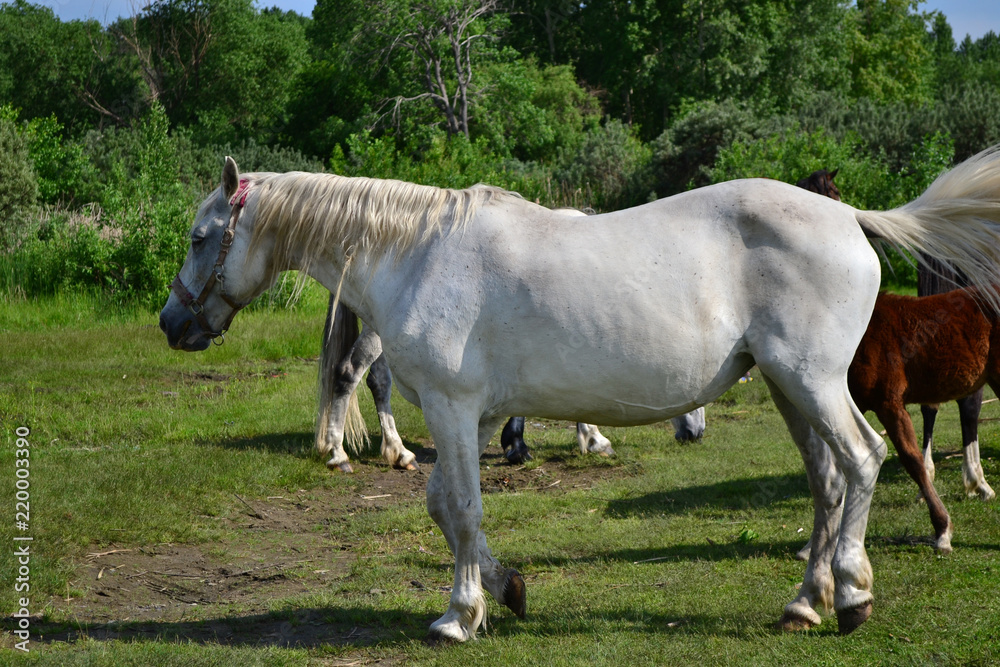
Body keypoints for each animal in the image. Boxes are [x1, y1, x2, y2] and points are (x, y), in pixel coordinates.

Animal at [160, 147, 1000, 639]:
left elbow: (461, 509)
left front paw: (459, 613)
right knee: (826, 481)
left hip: (812, 382)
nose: (172, 321)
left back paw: (851, 596)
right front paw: (507, 587)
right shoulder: (468, 414)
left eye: (201, 236)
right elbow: (445, 508)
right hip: (790, 388)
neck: (420, 253)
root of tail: (849, 217)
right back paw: (804, 601)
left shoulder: (455, 409)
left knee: (861, 461)